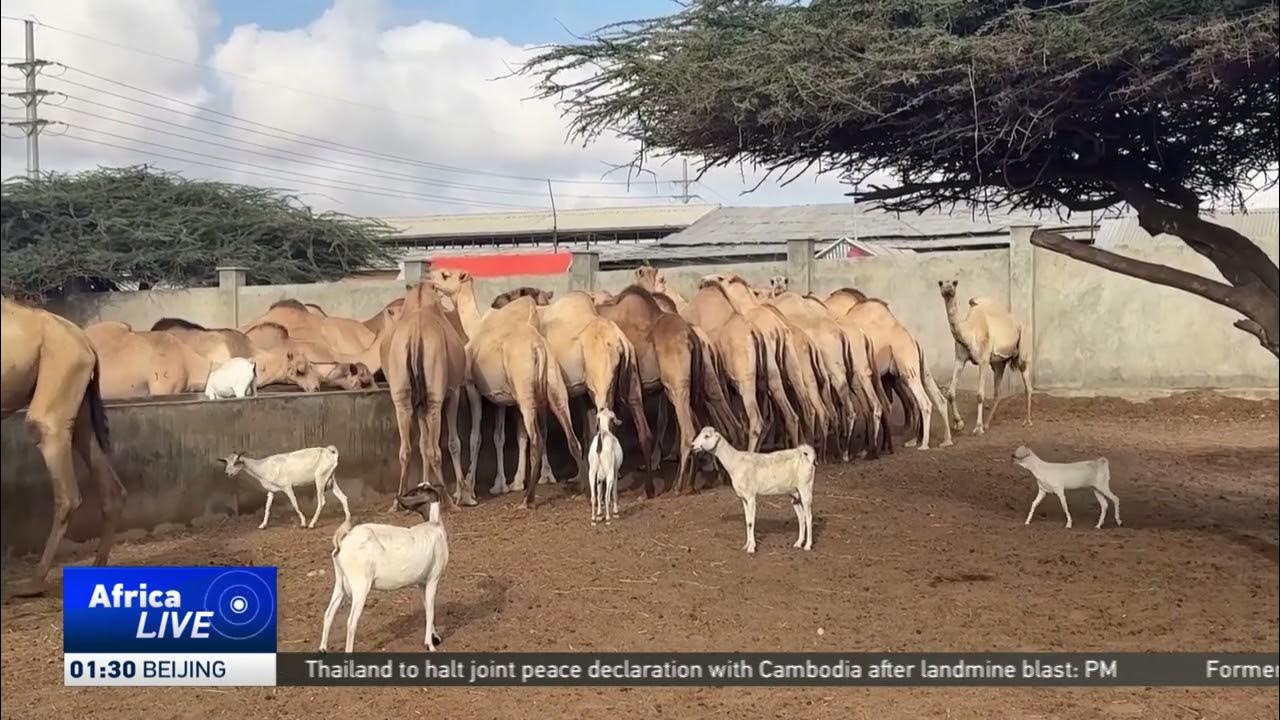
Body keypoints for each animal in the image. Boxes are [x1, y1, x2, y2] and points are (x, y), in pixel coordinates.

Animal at [380, 281, 477, 507]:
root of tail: (415, 335)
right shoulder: (453, 392)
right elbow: (453, 443)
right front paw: (464, 494)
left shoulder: (419, 404)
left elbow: (422, 446)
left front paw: (424, 487)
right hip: (434, 397)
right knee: (435, 450)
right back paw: (448, 500)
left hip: (403, 398)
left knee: (406, 450)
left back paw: (398, 502)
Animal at [427, 269, 581, 509]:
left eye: (445, 275)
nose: (429, 276)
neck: (475, 329)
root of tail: (538, 348)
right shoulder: (500, 397)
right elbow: (499, 436)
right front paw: (500, 485)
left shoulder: (473, 387)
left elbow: (476, 437)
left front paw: (469, 490)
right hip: (554, 385)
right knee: (572, 437)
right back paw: (582, 487)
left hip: (525, 389)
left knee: (536, 439)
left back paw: (528, 499)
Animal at [490, 288, 653, 488]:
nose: (493, 305)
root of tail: (620, 341)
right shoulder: (582, 392)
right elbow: (586, 430)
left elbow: (532, 433)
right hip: (630, 377)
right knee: (642, 426)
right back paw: (649, 488)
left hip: (602, 384)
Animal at [827, 289, 953, 450]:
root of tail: (913, 340)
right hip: (919, 368)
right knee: (938, 399)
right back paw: (943, 440)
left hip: (906, 364)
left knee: (924, 402)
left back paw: (923, 444)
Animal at [937, 280, 1033, 433]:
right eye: (940, 283)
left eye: (954, 283)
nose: (948, 289)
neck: (969, 331)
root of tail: (1018, 321)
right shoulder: (960, 359)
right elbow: (950, 393)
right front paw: (959, 423)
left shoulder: (983, 360)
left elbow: (980, 395)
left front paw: (978, 428)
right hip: (998, 363)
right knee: (997, 392)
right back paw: (988, 423)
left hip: (1022, 350)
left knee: (1027, 385)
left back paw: (1027, 421)